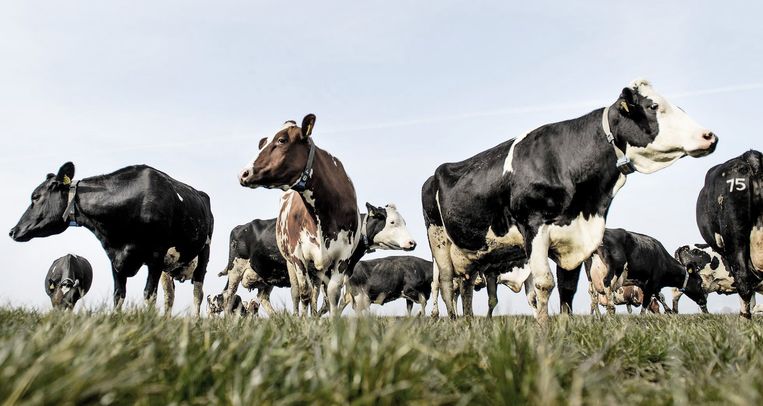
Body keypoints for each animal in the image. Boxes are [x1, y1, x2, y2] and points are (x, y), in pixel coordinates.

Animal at [9, 163, 214, 316]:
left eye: (35, 197)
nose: (13, 231)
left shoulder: (156, 256)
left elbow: (149, 294)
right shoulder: (115, 259)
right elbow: (118, 295)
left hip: (204, 253)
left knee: (198, 292)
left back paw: (195, 322)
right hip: (170, 266)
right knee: (170, 296)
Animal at [219, 203, 416, 316]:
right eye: (392, 222)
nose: (412, 243)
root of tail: (241, 227)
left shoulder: (325, 273)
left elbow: (323, 300)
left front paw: (316, 319)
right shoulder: (295, 265)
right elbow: (298, 293)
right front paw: (301, 319)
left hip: (267, 277)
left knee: (263, 298)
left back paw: (276, 318)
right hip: (236, 268)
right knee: (228, 295)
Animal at [239, 114, 371, 316]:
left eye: (282, 140)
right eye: (263, 143)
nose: (243, 173)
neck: (324, 215)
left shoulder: (343, 257)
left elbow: (332, 295)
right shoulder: (297, 255)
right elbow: (305, 293)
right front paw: (304, 320)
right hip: (289, 264)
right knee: (297, 293)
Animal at [422, 79, 717, 322]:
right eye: (653, 106)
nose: (709, 136)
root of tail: (435, 174)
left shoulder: (574, 239)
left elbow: (567, 290)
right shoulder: (534, 226)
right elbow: (544, 284)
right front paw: (543, 334)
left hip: (473, 254)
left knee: (466, 288)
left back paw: (469, 322)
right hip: (438, 240)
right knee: (447, 284)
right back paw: (453, 322)